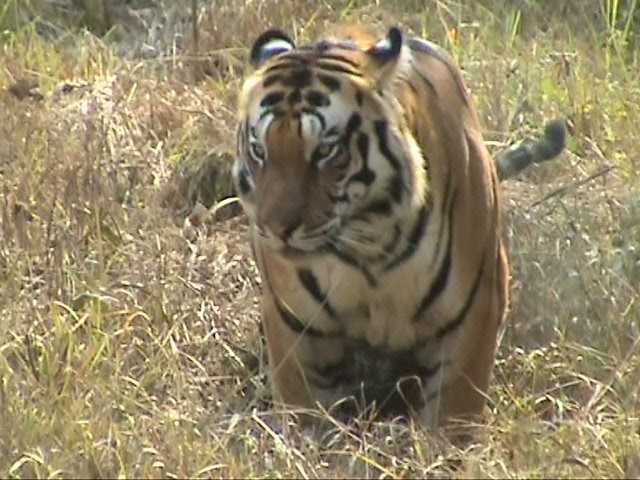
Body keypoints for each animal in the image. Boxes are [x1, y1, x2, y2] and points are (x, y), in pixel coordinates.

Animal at [232, 25, 566, 430]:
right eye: (259, 150)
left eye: (326, 151)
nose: (275, 228)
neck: (368, 247)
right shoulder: (295, 326)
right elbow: (306, 416)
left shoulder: (474, 312)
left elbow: (453, 416)